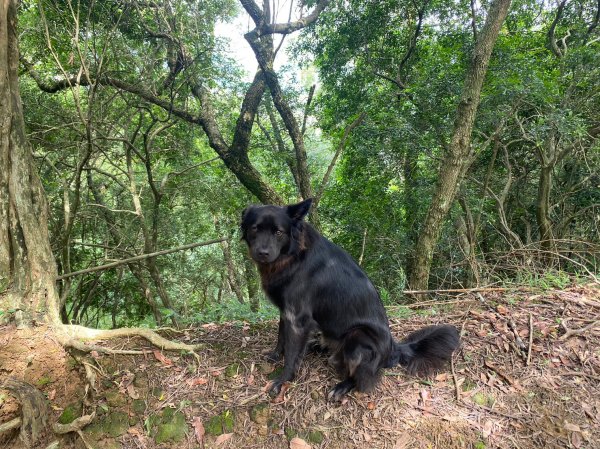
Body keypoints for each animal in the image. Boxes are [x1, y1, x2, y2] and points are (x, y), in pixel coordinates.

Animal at [239, 200, 460, 400]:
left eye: (278, 232)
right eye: (255, 228)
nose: (263, 253)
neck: (293, 255)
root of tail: (393, 349)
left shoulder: (298, 318)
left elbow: (292, 355)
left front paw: (283, 380)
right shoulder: (286, 312)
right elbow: (281, 336)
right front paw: (276, 355)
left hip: (357, 337)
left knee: (363, 377)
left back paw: (342, 386)